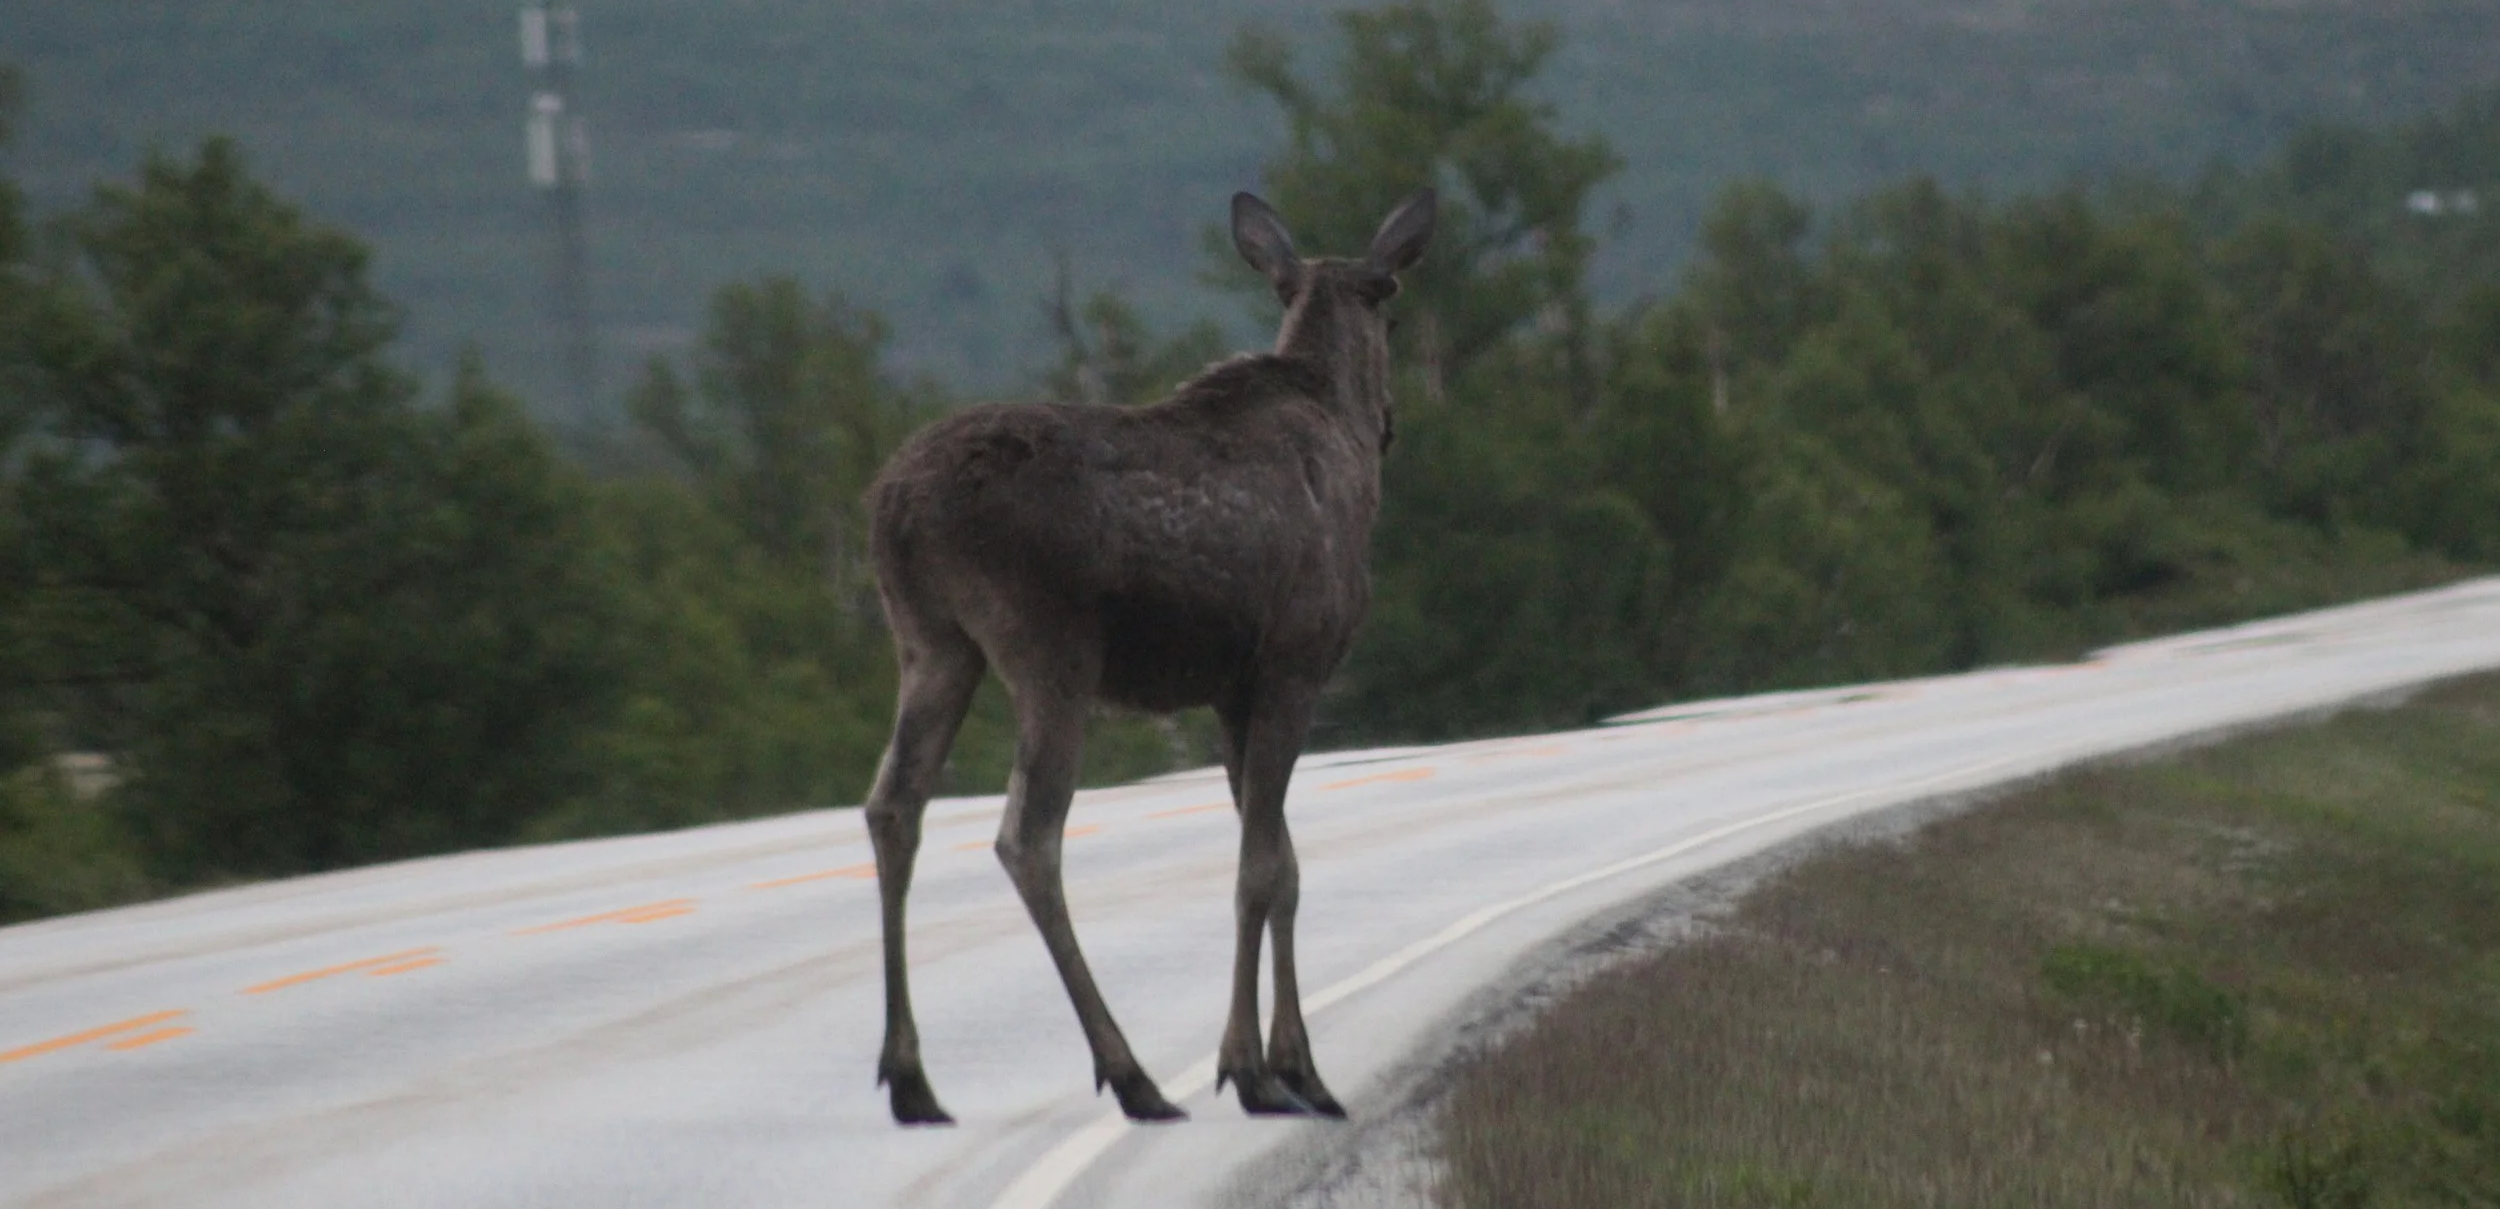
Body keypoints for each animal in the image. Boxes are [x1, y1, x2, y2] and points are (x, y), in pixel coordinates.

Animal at [859, 188, 1436, 1126]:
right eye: (1390, 303)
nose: (1390, 423)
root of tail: (893, 508)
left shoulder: (1233, 692)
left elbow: (1286, 863)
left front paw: (1301, 1066)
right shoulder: (1294, 665)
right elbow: (1259, 868)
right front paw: (1252, 1069)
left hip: (932, 645)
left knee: (892, 808)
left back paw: (911, 1078)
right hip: (1049, 653)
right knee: (1029, 837)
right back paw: (1131, 1073)